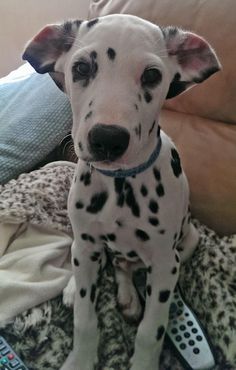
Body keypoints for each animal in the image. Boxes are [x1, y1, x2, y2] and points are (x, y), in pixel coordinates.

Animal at [23, 14, 220, 370]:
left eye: (152, 75)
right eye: (81, 68)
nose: (108, 139)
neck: (120, 186)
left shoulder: (165, 264)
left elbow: (150, 331)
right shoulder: (87, 246)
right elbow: (85, 317)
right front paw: (81, 358)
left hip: (188, 242)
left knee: (125, 266)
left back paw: (129, 296)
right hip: (85, 244)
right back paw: (76, 286)